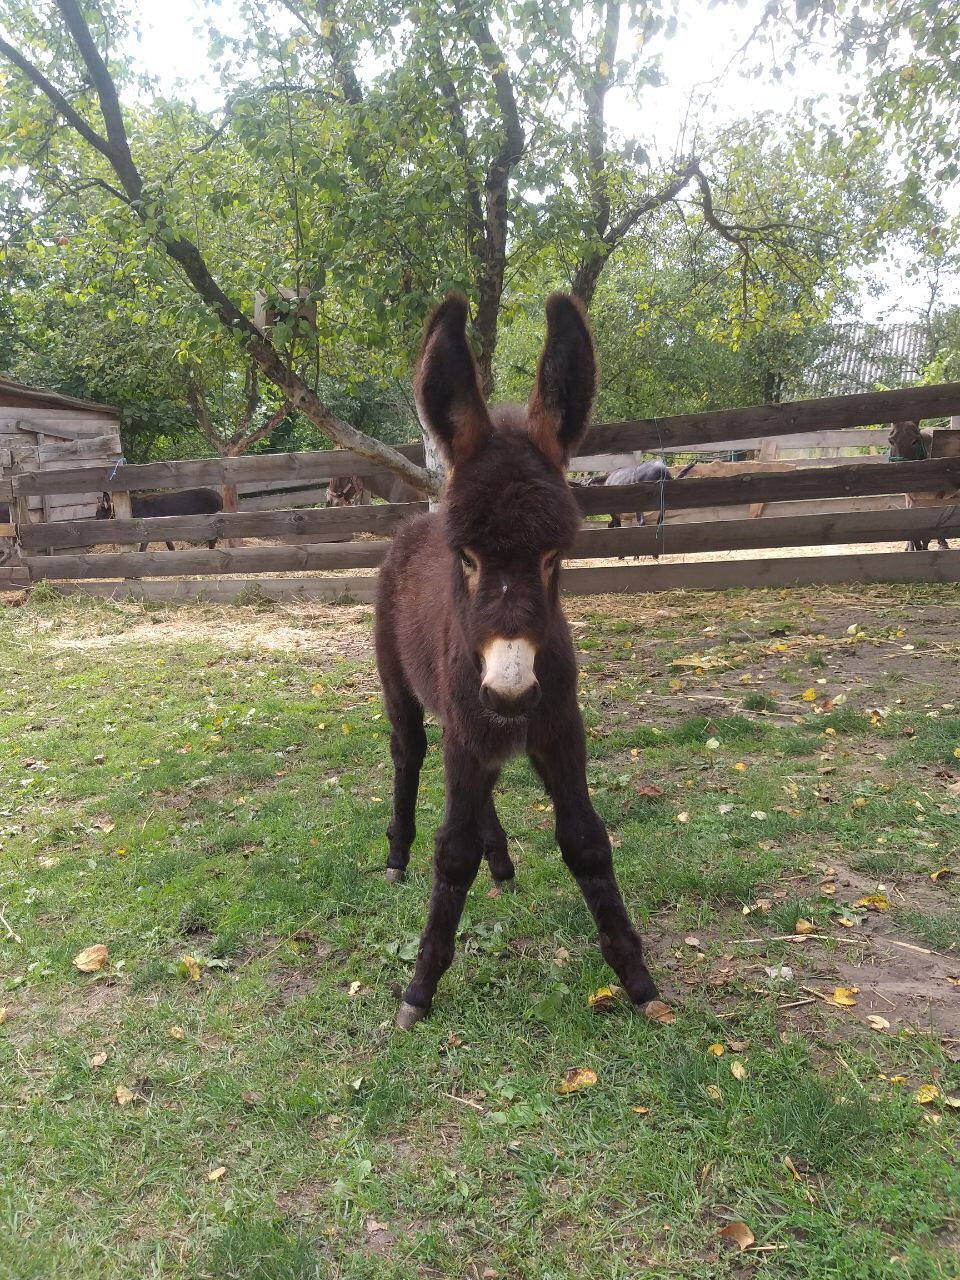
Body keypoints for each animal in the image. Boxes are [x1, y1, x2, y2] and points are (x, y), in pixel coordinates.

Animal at [376, 296, 660, 1029]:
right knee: (407, 756)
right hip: (403, 691)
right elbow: (451, 855)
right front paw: (420, 988)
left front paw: (639, 980)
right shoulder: (467, 729)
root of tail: (414, 523)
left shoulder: (558, 728)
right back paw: (397, 855)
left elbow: (586, 840)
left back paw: (500, 862)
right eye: (467, 558)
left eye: (554, 555)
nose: (508, 693)